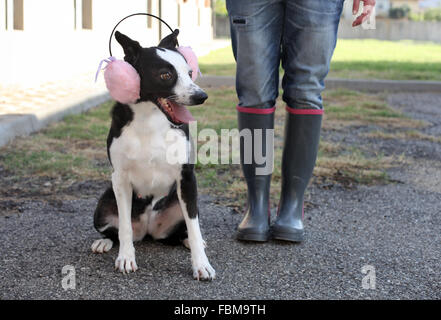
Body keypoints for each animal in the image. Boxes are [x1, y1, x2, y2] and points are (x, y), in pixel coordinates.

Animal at [92, 30, 216, 280]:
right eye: (165, 75)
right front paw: (126, 258)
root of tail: (148, 230)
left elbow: (194, 227)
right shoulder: (120, 179)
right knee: (114, 231)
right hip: (102, 206)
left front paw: (201, 264)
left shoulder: (187, 178)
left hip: (181, 203)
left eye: (190, 73)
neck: (149, 118)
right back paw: (104, 242)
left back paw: (189, 241)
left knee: (183, 230)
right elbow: (124, 228)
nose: (201, 96)